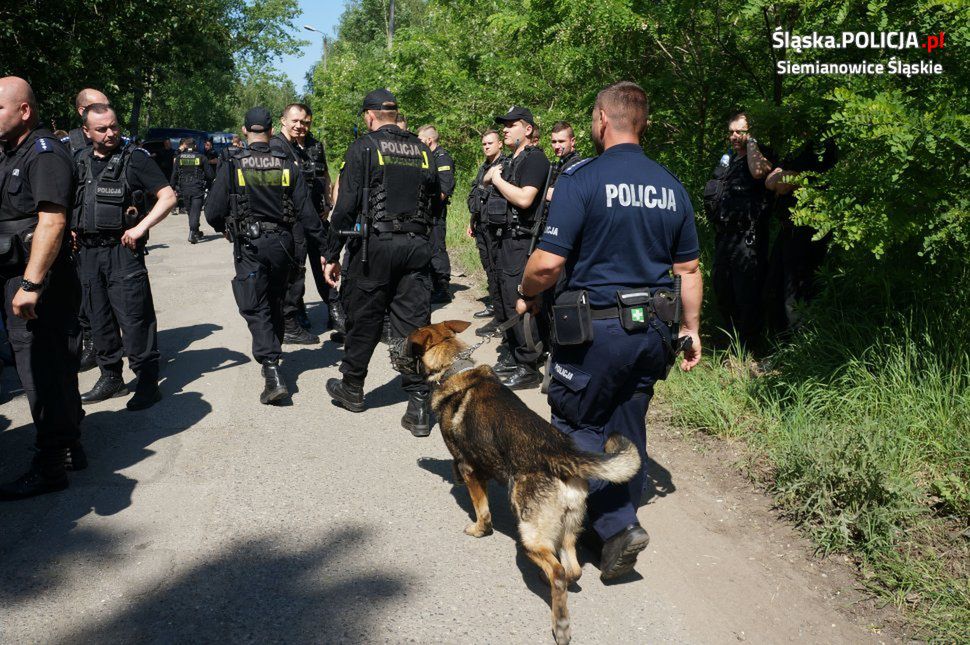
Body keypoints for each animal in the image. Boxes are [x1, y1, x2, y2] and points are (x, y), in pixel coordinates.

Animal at [402, 320, 640, 640]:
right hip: (567, 528)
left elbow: (482, 510)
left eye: (407, 342)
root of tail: (562, 453)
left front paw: (478, 529)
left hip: (529, 534)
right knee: (572, 569)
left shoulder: (469, 468)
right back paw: (549, 579)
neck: (454, 367)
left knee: (559, 572)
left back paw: (560, 624)